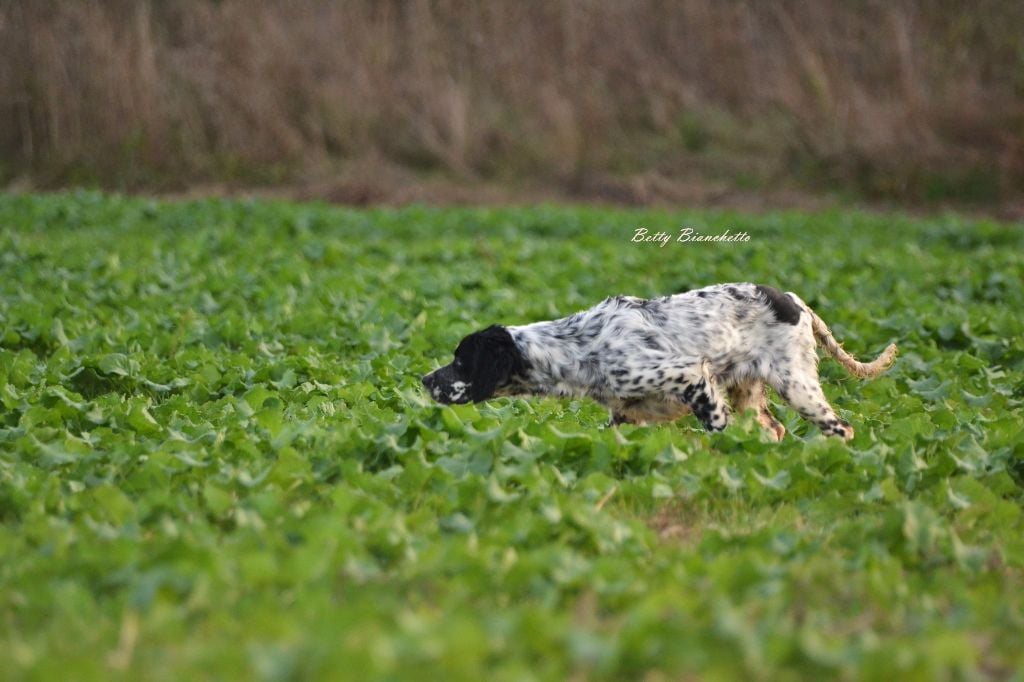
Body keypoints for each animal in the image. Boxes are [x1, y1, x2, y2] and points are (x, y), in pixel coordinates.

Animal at [417, 282, 897, 438]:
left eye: (460, 361)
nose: (423, 380)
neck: (578, 347)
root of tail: (795, 301)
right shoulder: (626, 415)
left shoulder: (690, 377)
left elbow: (715, 429)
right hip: (752, 392)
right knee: (775, 429)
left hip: (798, 386)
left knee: (843, 428)